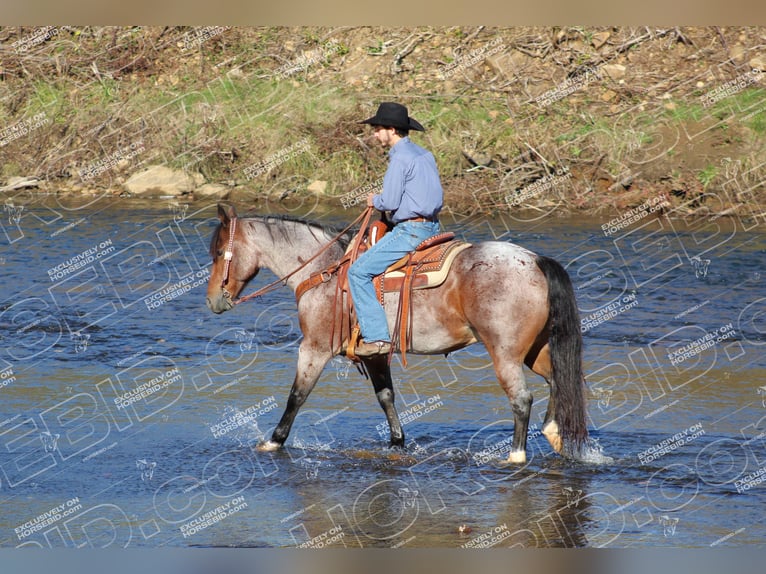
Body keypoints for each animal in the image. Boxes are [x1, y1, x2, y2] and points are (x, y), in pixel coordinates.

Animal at [204, 205, 588, 466]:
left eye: (218, 253)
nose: (212, 301)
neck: (324, 270)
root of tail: (535, 260)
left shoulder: (314, 348)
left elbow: (297, 396)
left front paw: (273, 441)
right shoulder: (375, 354)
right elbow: (386, 397)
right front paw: (397, 443)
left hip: (505, 353)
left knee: (522, 399)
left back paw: (516, 456)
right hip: (535, 350)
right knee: (558, 380)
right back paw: (554, 434)